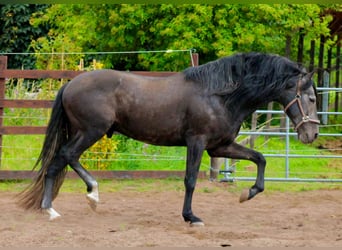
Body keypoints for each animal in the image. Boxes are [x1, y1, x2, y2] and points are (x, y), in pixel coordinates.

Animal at [16, 51, 320, 226]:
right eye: (312, 98)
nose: (312, 133)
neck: (220, 95)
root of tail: (70, 84)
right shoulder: (197, 142)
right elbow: (190, 180)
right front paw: (191, 217)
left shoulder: (218, 146)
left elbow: (260, 158)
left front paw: (249, 193)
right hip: (91, 131)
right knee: (67, 156)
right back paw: (82, 198)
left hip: (84, 132)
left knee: (58, 163)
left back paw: (57, 207)